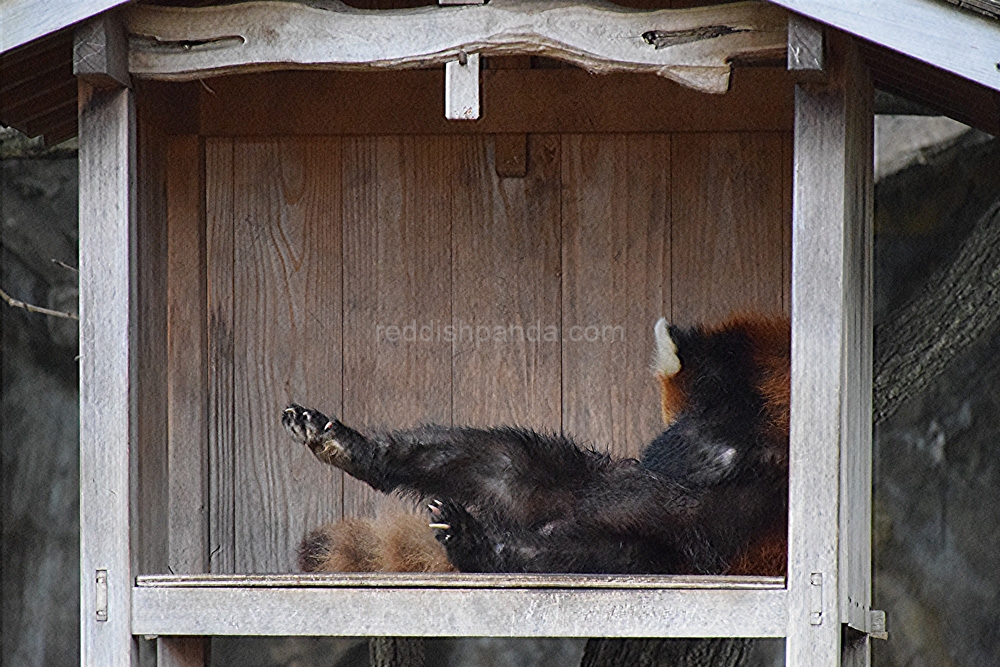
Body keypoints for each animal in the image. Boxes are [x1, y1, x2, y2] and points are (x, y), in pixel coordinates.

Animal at [286, 316, 792, 576]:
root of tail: (557, 520)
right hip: (573, 481)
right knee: (503, 459)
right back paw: (347, 446)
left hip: (676, 550)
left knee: (591, 553)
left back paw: (478, 545)